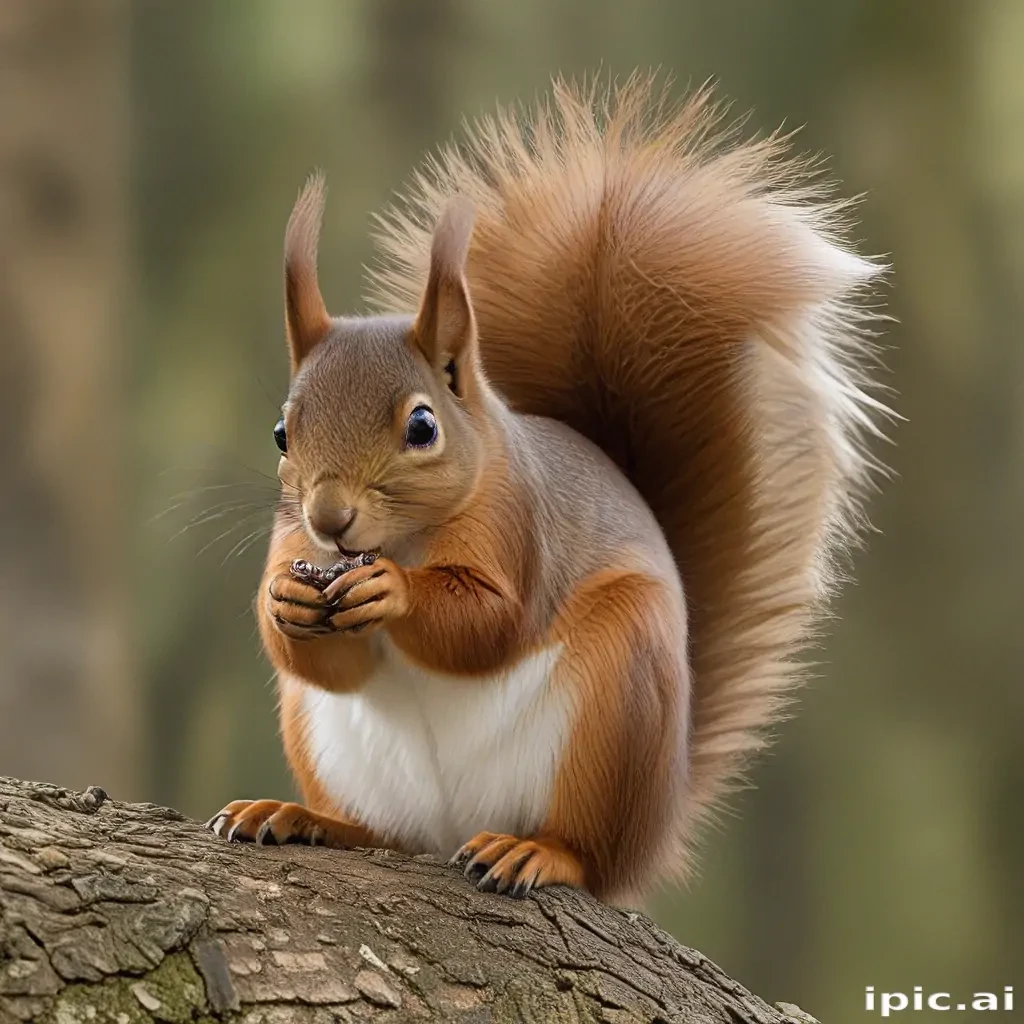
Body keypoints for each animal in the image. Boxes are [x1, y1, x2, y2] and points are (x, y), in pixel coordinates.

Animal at [206, 76, 889, 904]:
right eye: (282, 431)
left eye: (423, 427)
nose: (330, 518)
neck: (403, 537)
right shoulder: (291, 539)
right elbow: (324, 661)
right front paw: (284, 602)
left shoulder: (518, 523)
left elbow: (491, 622)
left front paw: (394, 590)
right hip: (328, 743)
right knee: (383, 832)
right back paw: (304, 817)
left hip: (616, 710)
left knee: (588, 852)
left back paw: (535, 852)